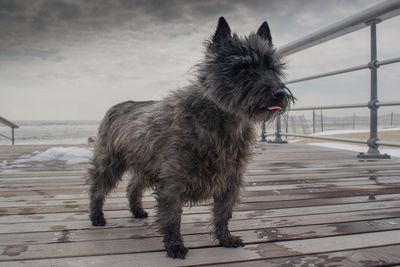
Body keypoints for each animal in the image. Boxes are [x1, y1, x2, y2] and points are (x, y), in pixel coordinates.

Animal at [88, 16, 294, 260]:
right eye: (243, 68)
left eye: (273, 68)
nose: (279, 94)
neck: (223, 121)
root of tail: (116, 106)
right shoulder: (172, 181)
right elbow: (172, 216)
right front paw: (175, 245)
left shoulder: (230, 179)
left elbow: (223, 213)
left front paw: (225, 238)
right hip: (110, 162)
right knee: (98, 188)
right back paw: (97, 217)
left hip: (146, 166)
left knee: (133, 186)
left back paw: (137, 211)